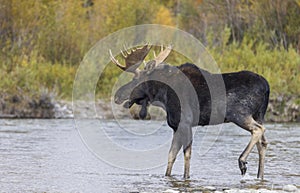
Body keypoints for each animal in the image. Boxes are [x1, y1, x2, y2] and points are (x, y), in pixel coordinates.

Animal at [110, 44, 270, 179]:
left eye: (135, 79)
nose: (117, 95)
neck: (163, 96)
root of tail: (266, 86)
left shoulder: (185, 123)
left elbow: (186, 154)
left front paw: (186, 177)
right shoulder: (176, 127)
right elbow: (171, 155)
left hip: (239, 114)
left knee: (258, 130)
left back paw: (242, 161)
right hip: (259, 115)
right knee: (263, 143)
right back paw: (259, 176)